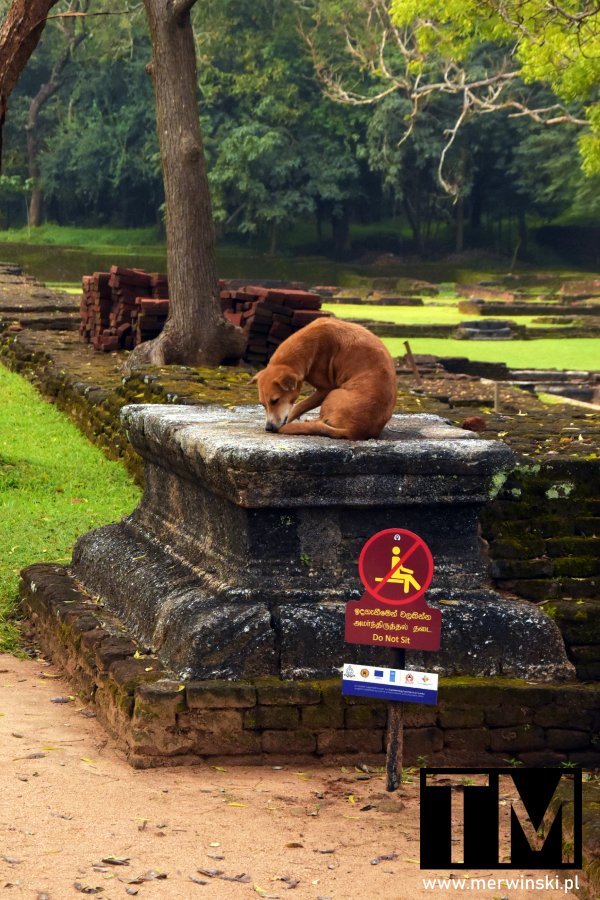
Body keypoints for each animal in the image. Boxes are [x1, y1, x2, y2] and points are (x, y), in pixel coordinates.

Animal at [250, 320, 396, 440]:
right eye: (262, 404)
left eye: (275, 401)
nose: (268, 428)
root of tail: (354, 431)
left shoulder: (326, 389)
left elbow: (299, 406)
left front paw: (290, 418)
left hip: (333, 393)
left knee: (323, 421)